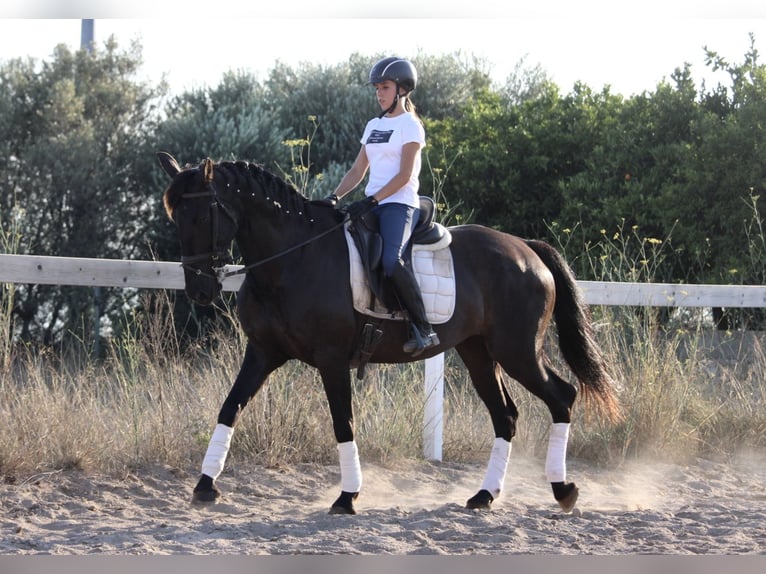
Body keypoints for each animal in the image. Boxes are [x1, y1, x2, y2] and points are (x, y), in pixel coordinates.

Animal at [159, 151, 620, 516]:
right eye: (175, 219)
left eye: (203, 215)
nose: (200, 290)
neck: (293, 259)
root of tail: (526, 249)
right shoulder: (262, 353)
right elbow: (229, 408)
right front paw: (205, 486)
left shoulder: (331, 359)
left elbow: (343, 423)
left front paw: (347, 497)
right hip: (478, 352)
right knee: (505, 416)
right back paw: (485, 496)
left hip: (517, 350)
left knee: (562, 396)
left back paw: (563, 490)